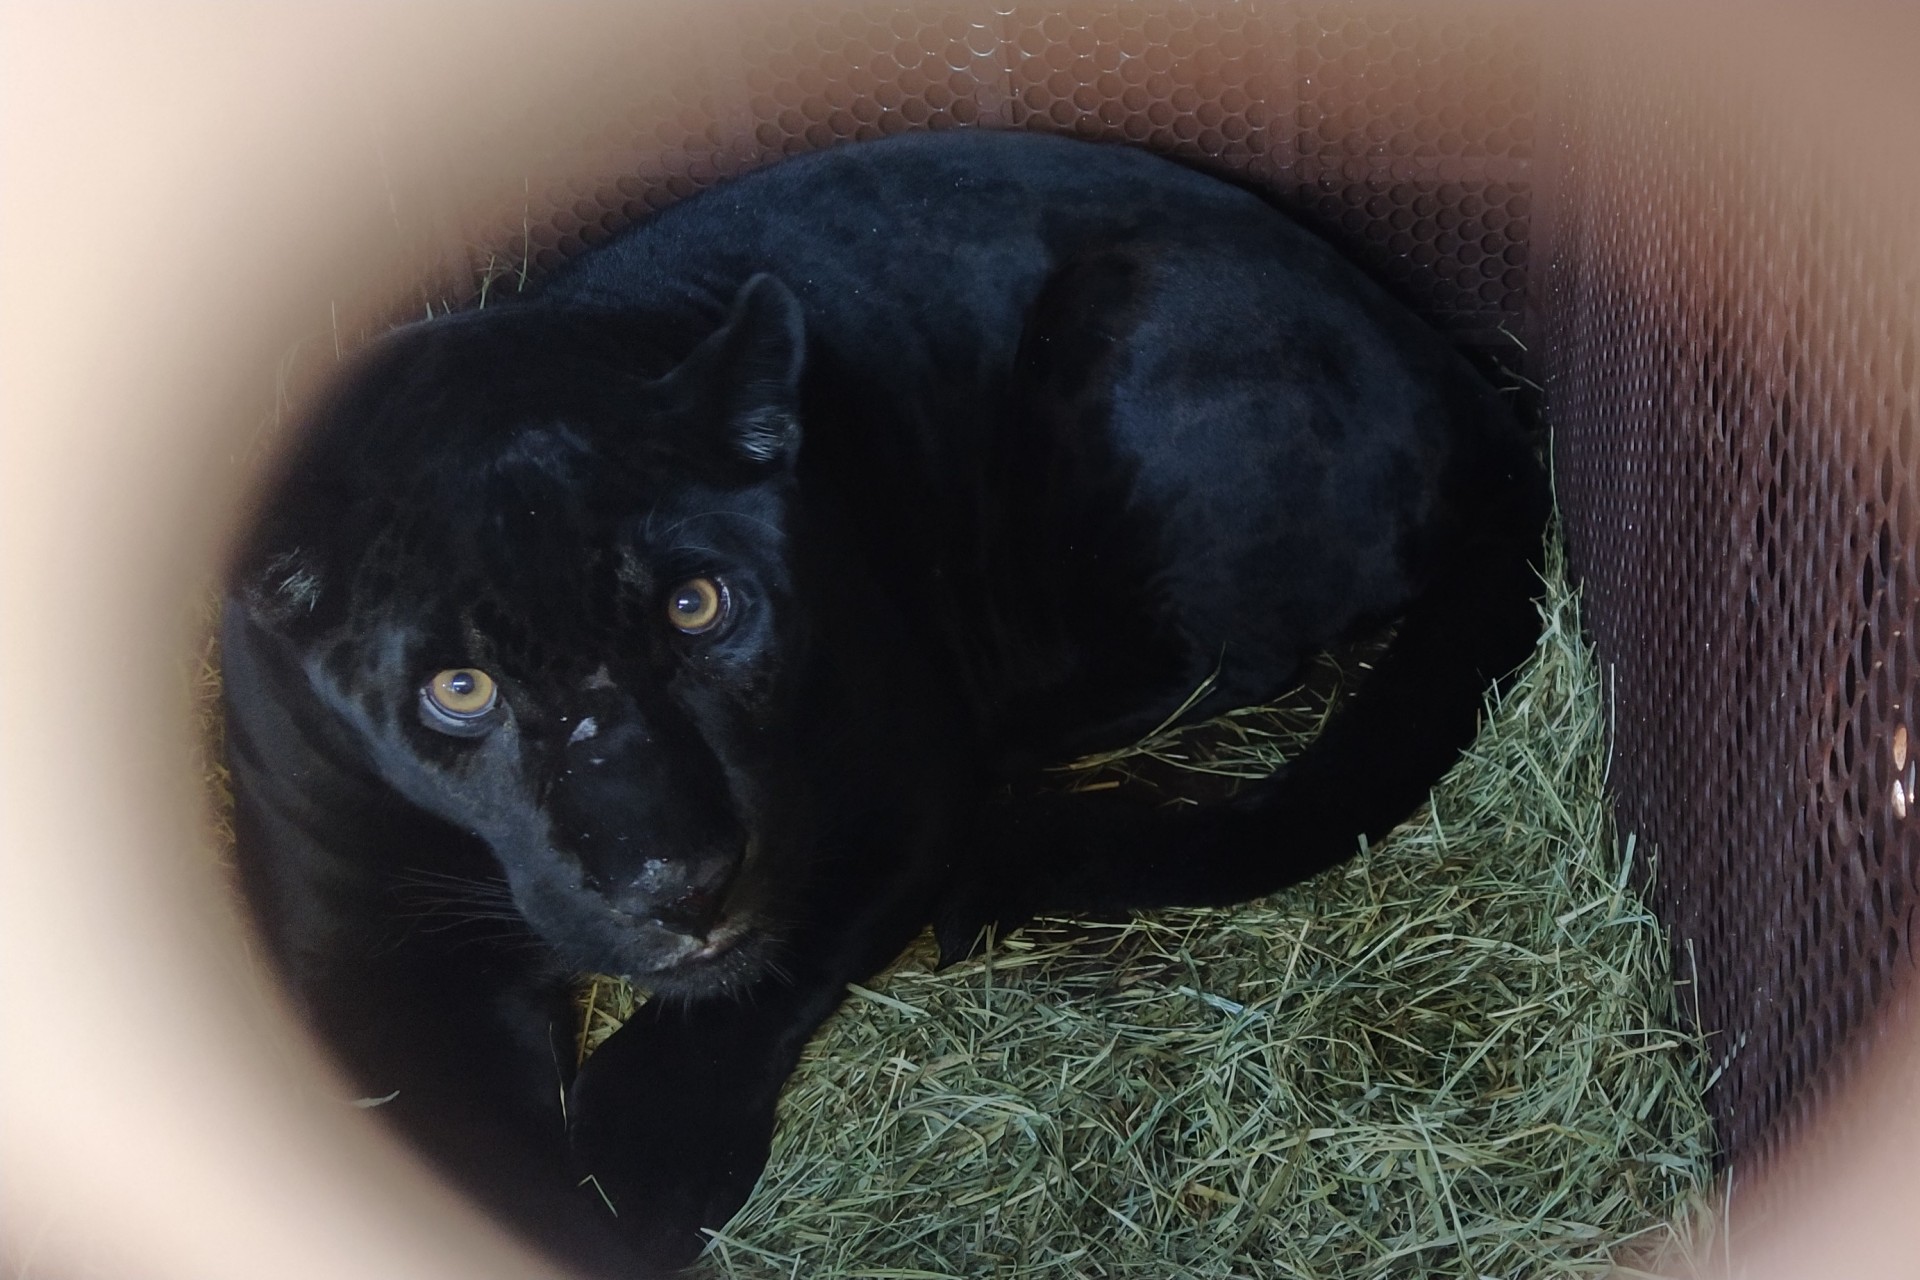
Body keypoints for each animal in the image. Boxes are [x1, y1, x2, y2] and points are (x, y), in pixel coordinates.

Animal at [224, 130, 1543, 1274]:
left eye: (700, 605)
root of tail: (1464, 376)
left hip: (1135, 353)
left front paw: (640, 1168)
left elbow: (739, 993)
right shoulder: (369, 961)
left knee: (1233, 655)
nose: (675, 882)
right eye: (459, 690)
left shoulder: (886, 787)